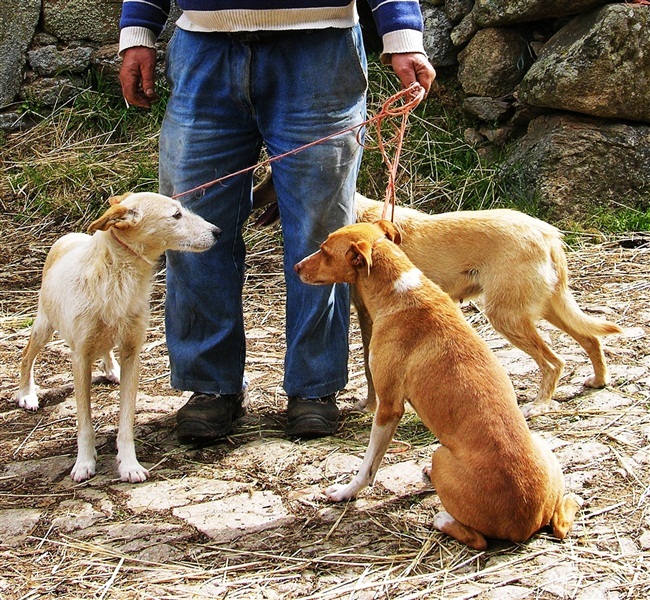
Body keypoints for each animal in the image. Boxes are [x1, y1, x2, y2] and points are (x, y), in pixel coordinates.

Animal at [16, 192, 220, 482]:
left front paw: (129, 464)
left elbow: (126, 421)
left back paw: (111, 369)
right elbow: (84, 422)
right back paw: (26, 394)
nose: (218, 232)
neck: (118, 274)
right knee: (26, 356)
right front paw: (84, 462)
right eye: (176, 215)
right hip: (44, 326)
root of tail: (69, 236)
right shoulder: (79, 358)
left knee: (105, 347)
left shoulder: (132, 353)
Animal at [294, 220, 584, 548]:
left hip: (441, 454)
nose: (295, 267)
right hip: (543, 451)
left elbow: (368, 465)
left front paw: (346, 492)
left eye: (325, 251)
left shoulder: (389, 407)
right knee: (562, 513)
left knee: (477, 538)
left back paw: (441, 517)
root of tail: (530, 521)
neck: (400, 291)